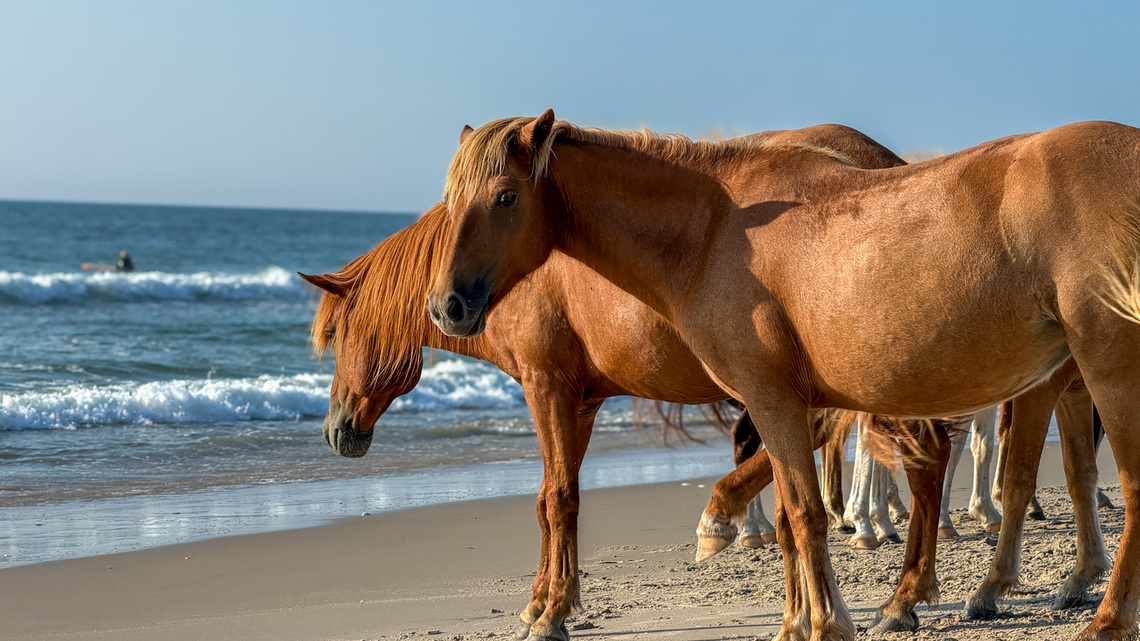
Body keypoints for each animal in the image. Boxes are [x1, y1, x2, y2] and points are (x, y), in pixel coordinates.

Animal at [299, 123, 911, 641]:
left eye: (335, 333)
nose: (335, 430)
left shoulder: (546, 388)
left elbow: (558, 500)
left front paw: (551, 615)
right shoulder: (582, 403)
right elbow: (551, 497)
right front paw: (542, 602)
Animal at [428, 111, 1140, 641]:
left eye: (505, 196)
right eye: (450, 200)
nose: (447, 306)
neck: (714, 232)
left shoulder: (771, 399)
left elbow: (803, 511)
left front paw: (823, 622)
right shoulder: (791, 405)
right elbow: (796, 513)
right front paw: (804, 617)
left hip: (1108, 372)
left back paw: (1104, 619)